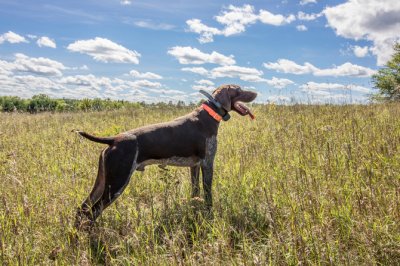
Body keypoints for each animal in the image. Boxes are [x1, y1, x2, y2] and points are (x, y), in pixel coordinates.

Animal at [74, 84, 256, 227]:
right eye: (239, 90)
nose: (256, 93)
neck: (210, 115)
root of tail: (113, 140)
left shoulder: (195, 166)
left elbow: (195, 192)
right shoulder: (207, 163)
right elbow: (208, 193)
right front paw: (210, 214)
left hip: (103, 181)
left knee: (82, 208)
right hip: (117, 182)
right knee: (92, 212)